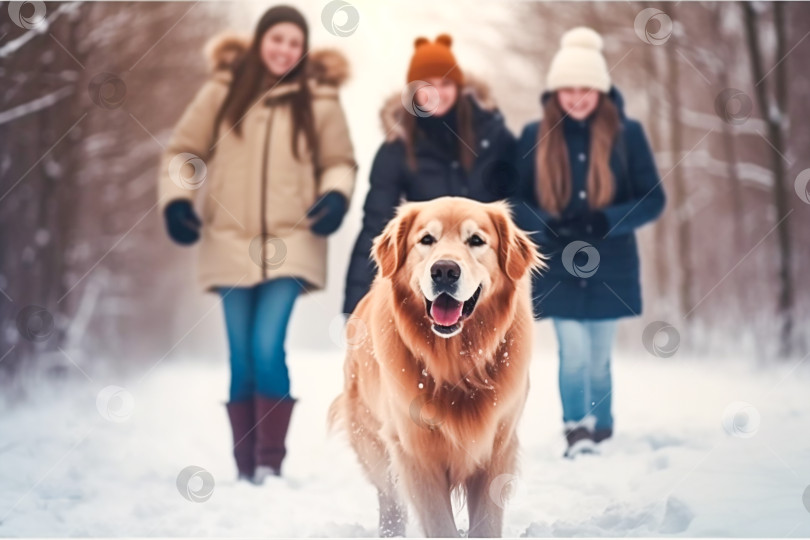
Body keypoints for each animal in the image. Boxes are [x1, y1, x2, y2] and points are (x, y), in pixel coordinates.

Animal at [326, 197, 544, 536]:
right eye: (427, 239)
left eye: (476, 240)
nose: (444, 270)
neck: (455, 364)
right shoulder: (415, 453)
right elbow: (440, 524)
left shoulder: (496, 449)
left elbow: (486, 524)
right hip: (373, 442)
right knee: (390, 502)